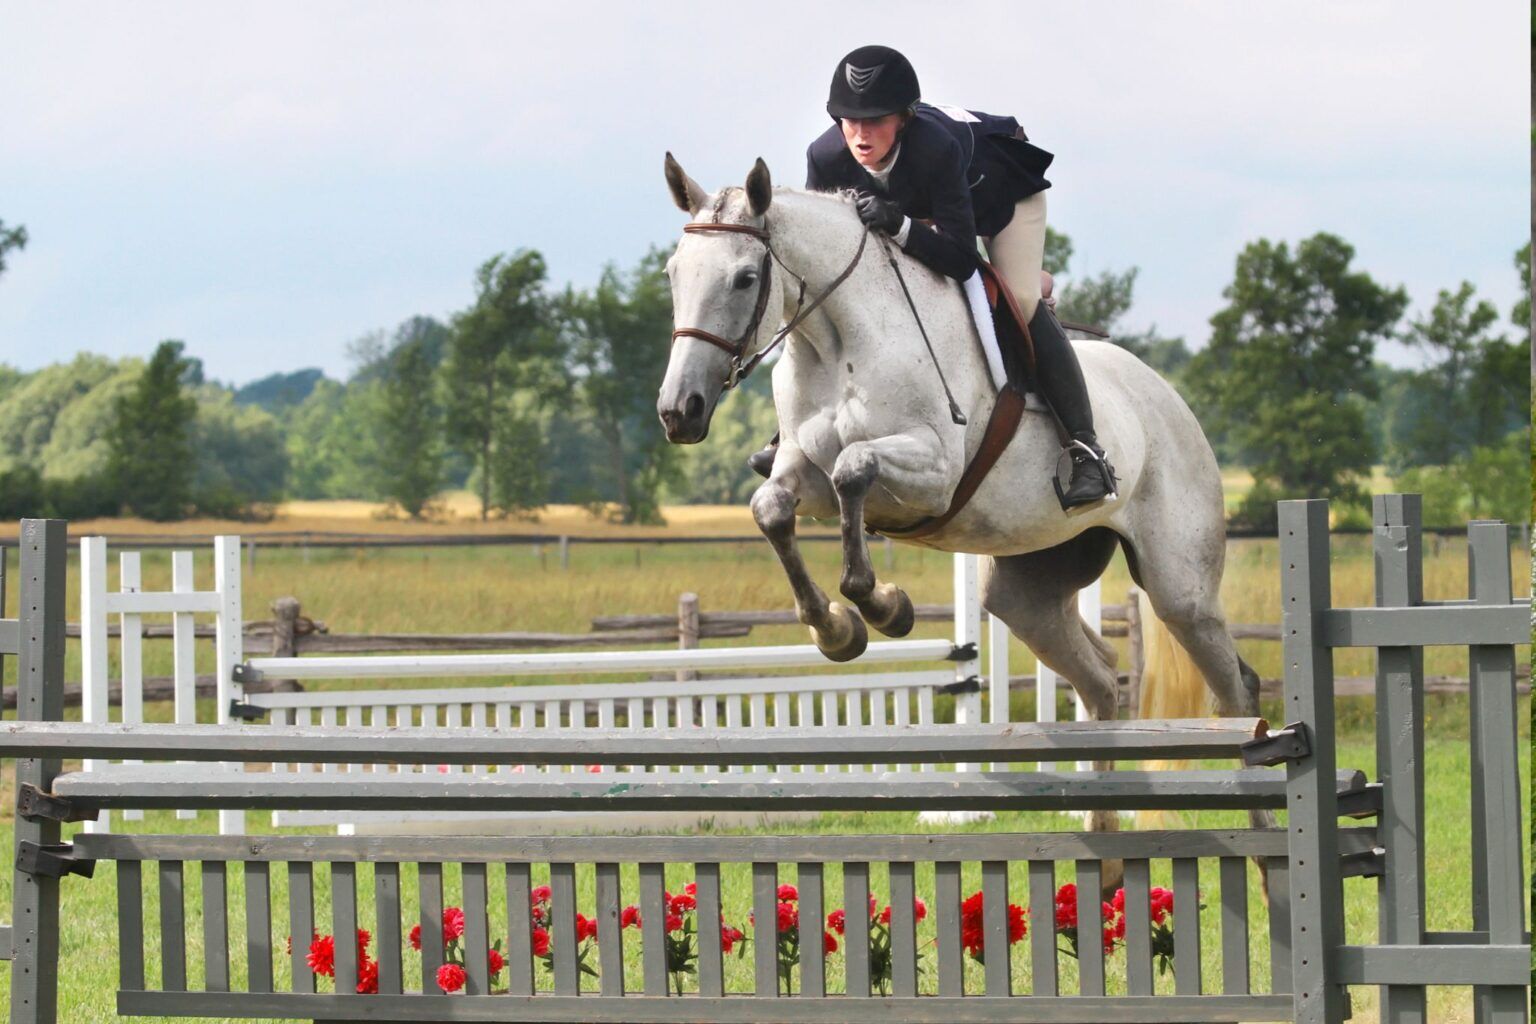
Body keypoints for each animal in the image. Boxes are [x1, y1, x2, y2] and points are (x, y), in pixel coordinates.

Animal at [656, 155, 1267, 853]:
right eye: (674, 273)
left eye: (745, 277)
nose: (679, 411)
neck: (838, 339)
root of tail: (1167, 395)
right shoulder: (799, 472)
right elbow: (772, 509)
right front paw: (836, 629)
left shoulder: (935, 470)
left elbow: (854, 469)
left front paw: (883, 606)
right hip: (1026, 592)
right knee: (1097, 675)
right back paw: (1103, 845)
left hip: (1180, 587)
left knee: (1236, 688)